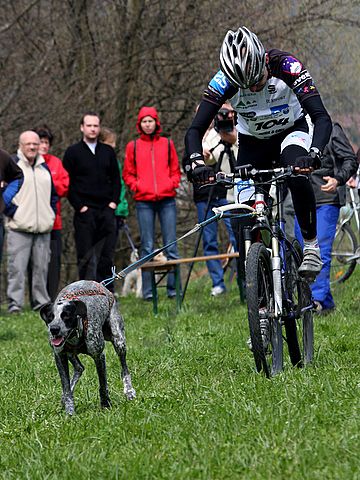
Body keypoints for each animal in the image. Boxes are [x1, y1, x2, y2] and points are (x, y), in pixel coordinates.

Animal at [39, 280, 135, 414]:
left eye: (66, 316)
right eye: (50, 317)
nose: (54, 329)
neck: (75, 334)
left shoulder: (99, 356)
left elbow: (103, 384)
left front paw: (105, 405)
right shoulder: (60, 356)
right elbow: (66, 388)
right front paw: (70, 411)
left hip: (119, 340)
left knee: (124, 369)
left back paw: (129, 391)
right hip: (70, 354)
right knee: (79, 368)